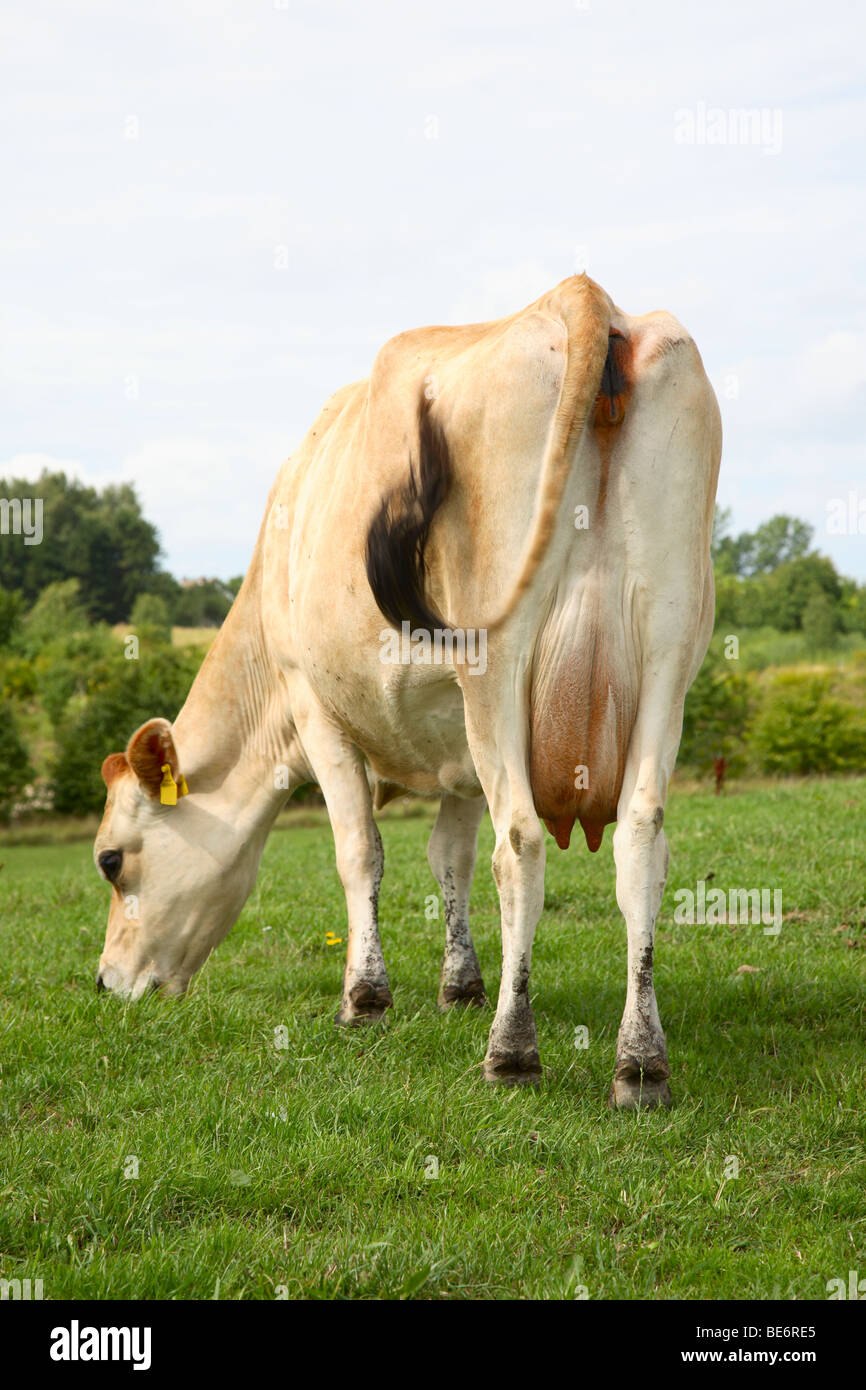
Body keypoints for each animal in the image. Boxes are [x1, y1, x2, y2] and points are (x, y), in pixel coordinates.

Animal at [93, 276, 722, 1112]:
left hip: (501, 666)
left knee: (520, 845)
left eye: (111, 859)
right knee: (641, 839)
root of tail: (580, 297)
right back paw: (640, 1063)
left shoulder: (316, 711)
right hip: (666, 654)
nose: (106, 983)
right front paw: (461, 986)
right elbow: (449, 856)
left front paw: (365, 998)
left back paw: (512, 1052)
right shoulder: (458, 746)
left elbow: (361, 851)